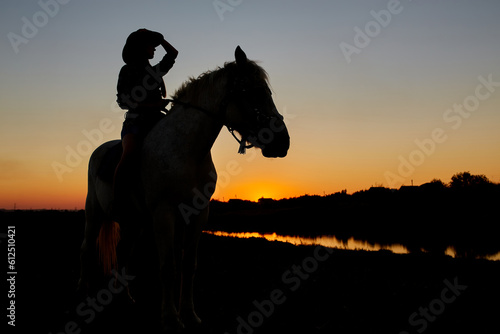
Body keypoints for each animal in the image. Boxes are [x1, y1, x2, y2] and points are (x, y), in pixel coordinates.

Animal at [78, 46, 290, 332]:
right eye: (253, 92)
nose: (283, 142)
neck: (187, 150)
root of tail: (99, 151)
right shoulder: (164, 214)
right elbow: (168, 267)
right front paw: (170, 317)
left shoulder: (198, 214)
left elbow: (188, 266)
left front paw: (189, 314)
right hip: (95, 214)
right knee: (87, 249)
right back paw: (86, 298)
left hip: (133, 222)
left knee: (122, 253)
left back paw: (124, 299)